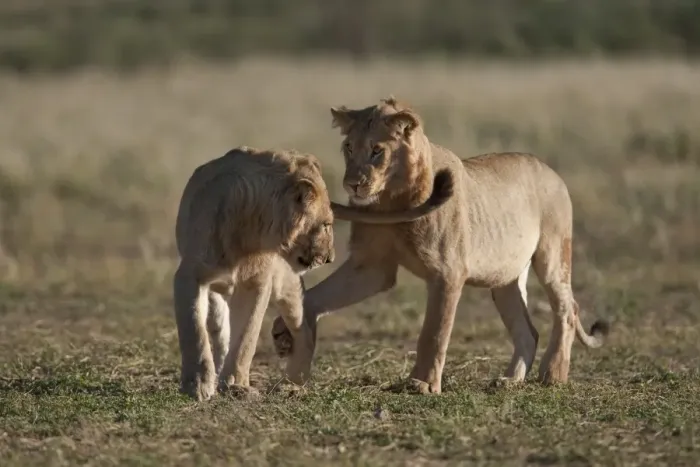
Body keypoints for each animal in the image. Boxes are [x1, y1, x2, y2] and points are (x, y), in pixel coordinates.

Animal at [173, 146, 454, 401]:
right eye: (327, 225)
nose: (330, 258)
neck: (251, 234)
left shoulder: (258, 282)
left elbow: (246, 337)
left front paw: (235, 385)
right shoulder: (189, 276)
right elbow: (195, 332)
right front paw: (199, 384)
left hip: (288, 283)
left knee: (305, 327)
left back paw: (293, 383)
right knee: (219, 324)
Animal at [271, 98, 610, 393]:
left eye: (377, 151)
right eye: (349, 147)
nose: (352, 184)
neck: (391, 202)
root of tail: (550, 170)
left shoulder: (448, 272)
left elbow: (434, 332)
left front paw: (422, 384)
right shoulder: (371, 267)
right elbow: (316, 297)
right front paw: (284, 332)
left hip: (552, 256)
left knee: (568, 308)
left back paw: (553, 374)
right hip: (505, 278)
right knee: (528, 329)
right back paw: (510, 381)